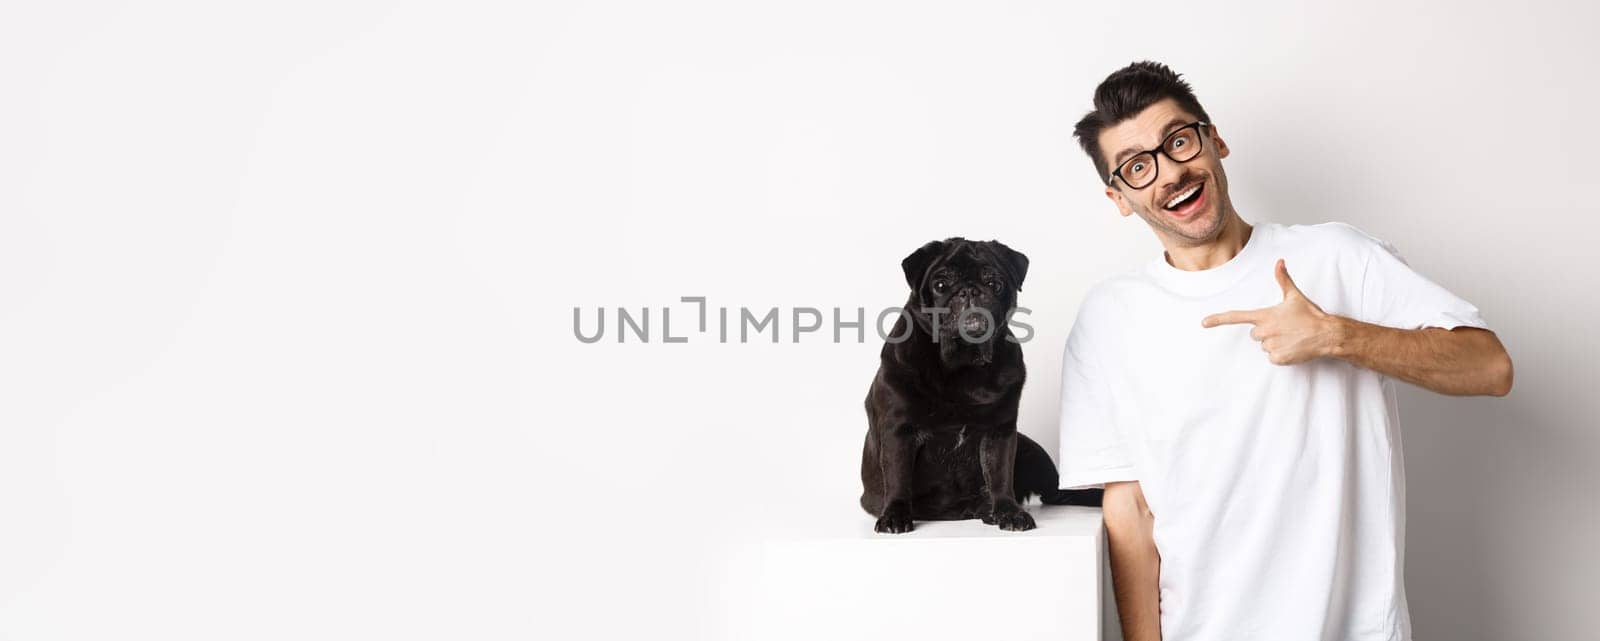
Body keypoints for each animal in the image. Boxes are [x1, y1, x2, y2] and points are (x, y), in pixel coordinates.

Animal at [857, 236, 1107, 530]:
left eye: (994, 283)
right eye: (940, 285)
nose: (969, 291)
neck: (963, 364)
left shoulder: (1000, 432)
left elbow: (999, 475)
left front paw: (1008, 511)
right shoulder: (899, 431)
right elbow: (898, 477)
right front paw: (895, 516)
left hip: (1030, 448)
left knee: (1056, 493)